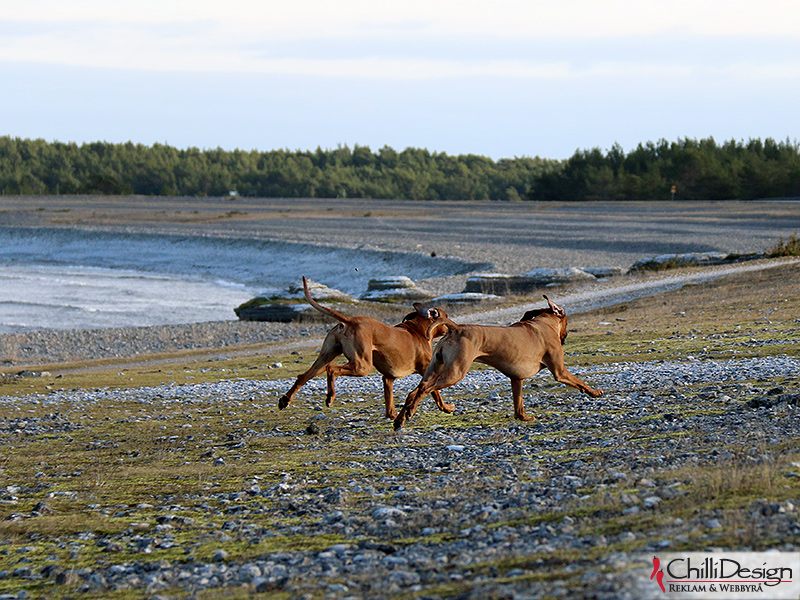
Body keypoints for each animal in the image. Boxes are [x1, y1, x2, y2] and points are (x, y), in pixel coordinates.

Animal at [276, 276, 454, 418]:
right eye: (446, 317)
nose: (453, 326)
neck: (418, 329)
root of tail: (349, 320)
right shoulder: (427, 371)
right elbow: (436, 394)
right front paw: (447, 408)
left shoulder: (388, 378)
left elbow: (389, 404)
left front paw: (394, 416)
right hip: (362, 366)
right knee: (332, 370)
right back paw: (330, 397)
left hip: (325, 357)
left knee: (303, 376)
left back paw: (285, 400)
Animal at [390, 296, 604, 428]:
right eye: (566, 322)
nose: (565, 337)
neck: (543, 323)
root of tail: (456, 328)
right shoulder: (560, 371)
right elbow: (580, 382)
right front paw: (594, 392)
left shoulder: (516, 379)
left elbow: (519, 404)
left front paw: (523, 417)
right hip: (455, 372)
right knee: (424, 389)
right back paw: (409, 413)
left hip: (434, 367)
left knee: (415, 390)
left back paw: (399, 420)